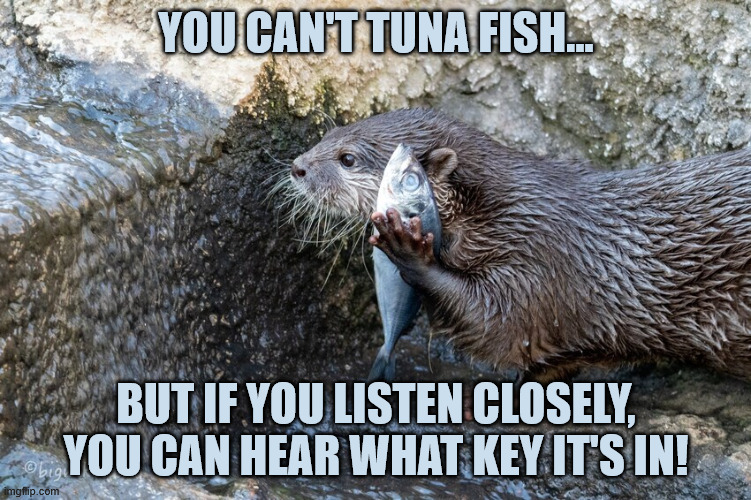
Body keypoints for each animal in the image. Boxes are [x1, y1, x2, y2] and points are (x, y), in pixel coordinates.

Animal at [288, 108, 751, 382]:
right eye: (331, 131)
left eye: (348, 158)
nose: (297, 167)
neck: (504, 214)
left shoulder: (537, 262)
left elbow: (497, 328)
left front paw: (407, 249)